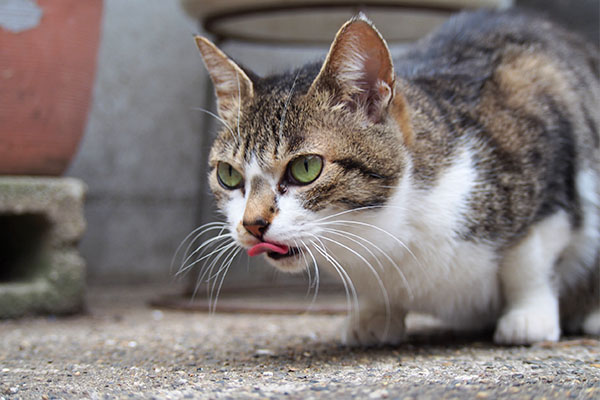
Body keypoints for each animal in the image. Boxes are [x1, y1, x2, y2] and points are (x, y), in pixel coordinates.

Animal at [191, 9, 600, 346]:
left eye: (305, 168)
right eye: (228, 174)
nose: (252, 224)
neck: (387, 232)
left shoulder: (545, 136)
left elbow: (530, 261)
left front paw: (528, 317)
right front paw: (375, 315)